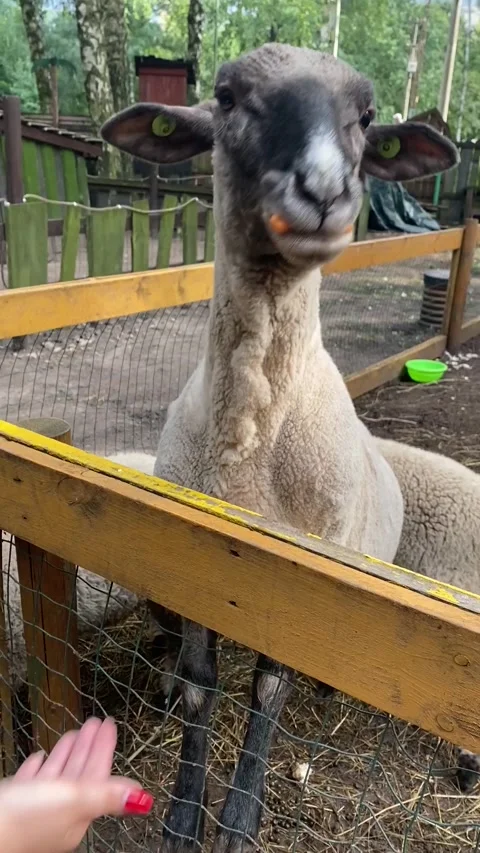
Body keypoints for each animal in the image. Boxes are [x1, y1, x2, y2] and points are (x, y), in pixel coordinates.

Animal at [102, 43, 458, 853]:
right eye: (228, 96)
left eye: (367, 115)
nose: (324, 192)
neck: (251, 446)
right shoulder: (194, 569)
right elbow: (201, 688)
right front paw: (183, 817)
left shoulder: (302, 574)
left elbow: (268, 689)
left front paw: (238, 820)